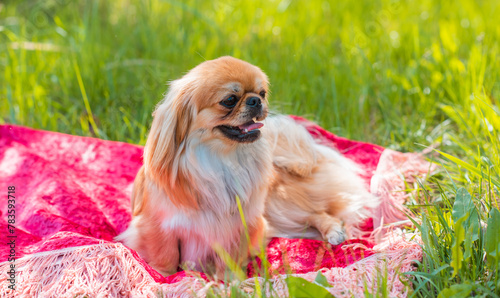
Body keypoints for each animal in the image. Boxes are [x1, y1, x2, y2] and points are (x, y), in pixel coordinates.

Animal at [115, 56, 376, 278]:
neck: (220, 160)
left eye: (262, 93)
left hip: (278, 204)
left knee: (318, 212)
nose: (256, 100)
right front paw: (164, 277)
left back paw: (333, 231)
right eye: (229, 100)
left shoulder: (241, 224)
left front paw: (230, 281)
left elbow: (230, 259)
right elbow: (166, 256)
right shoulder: (159, 226)